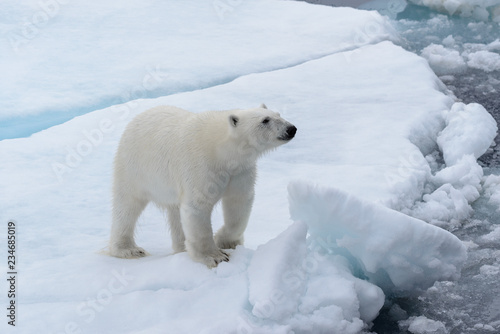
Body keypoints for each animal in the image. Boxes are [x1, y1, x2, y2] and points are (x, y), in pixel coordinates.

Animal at [110, 103, 296, 266]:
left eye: (278, 114)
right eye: (265, 120)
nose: (291, 129)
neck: (221, 151)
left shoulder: (240, 171)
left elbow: (239, 202)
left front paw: (225, 241)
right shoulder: (200, 167)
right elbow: (197, 207)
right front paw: (215, 257)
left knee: (175, 211)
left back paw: (181, 247)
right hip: (135, 168)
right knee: (127, 206)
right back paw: (128, 249)